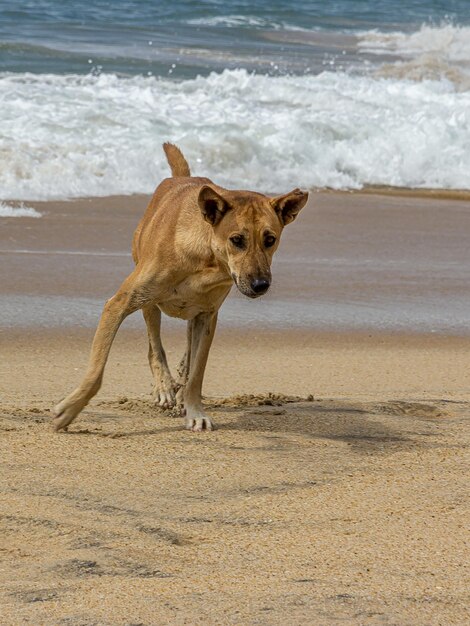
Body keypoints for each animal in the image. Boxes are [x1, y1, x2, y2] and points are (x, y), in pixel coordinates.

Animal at [53, 144, 308, 432]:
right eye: (236, 240)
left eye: (270, 239)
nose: (260, 284)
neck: (207, 261)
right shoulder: (118, 304)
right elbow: (97, 371)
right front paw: (70, 409)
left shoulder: (207, 316)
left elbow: (197, 373)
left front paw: (195, 410)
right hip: (148, 301)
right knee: (154, 344)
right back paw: (164, 387)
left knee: (186, 350)